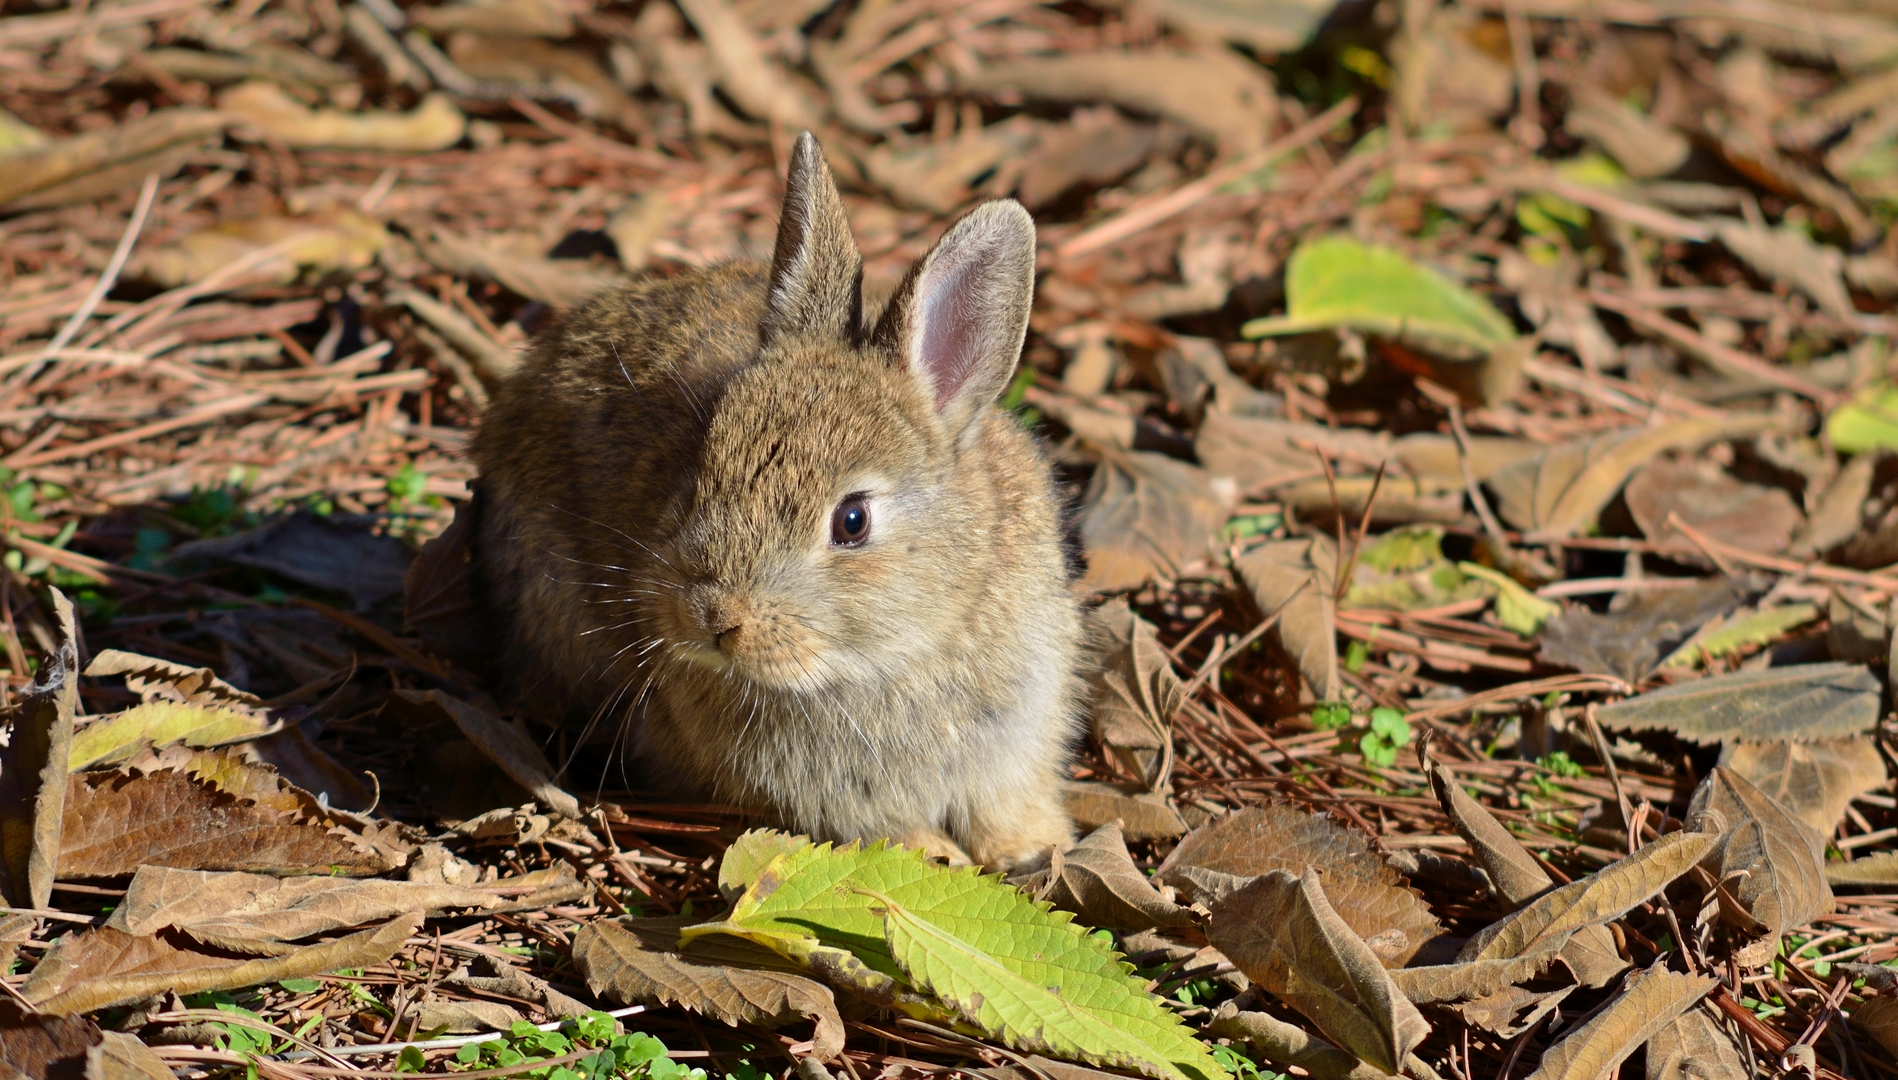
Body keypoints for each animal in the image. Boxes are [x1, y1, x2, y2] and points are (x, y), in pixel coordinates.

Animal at [471, 132, 1083, 871]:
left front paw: (1034, 844)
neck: (905, 645)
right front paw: (935, 854)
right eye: (700, 468)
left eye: (853, 521)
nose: (709, 616)